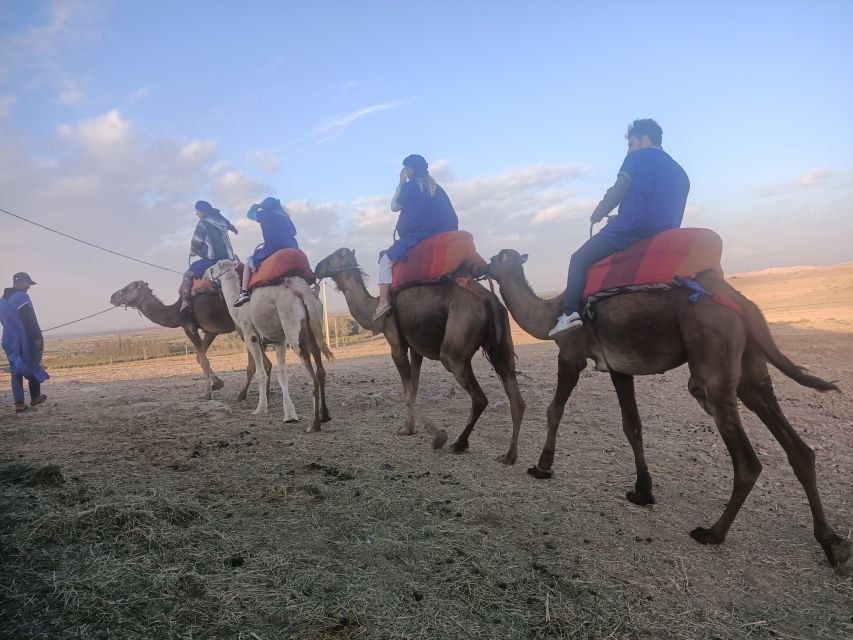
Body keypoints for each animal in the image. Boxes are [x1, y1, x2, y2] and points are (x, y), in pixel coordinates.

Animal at [110, 282, 270, 400]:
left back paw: (248, 394)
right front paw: (217, 383)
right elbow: (200, 357)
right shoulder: (211, 331)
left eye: (125, 289)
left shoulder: (189, 328)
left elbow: (204, 360)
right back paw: (264, 393)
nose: (112, 297)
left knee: (260, 361)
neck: (175, 312)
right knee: (263, 360)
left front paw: (206, 393)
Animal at [206, 258, 332, 430]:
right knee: (320, 370)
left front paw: (260, 408)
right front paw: (290, 415)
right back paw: (325, 416)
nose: (205, 273)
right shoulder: (279, 340)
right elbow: (282, 375)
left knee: (312, 377)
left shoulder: (250, 336)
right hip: (314, 326)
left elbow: (260, 372)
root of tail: (304, 293)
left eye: (213, 268)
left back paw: (314, 425)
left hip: (293, 330)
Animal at [314, 248, 524, 462]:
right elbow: (413, 389)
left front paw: (436, 435)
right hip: (501, 346)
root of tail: (490, 300)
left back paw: (459, 443)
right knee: (515, 395)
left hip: (455, 351)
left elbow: (407, 392)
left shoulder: (396, 344)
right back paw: (509, 456)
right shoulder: (416, 349)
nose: (317, 267)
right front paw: (409, 428)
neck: (374, 312)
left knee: (479, 397)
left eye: (337, 255)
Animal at [486, 250, 852, 576]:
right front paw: (642, 491)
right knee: (798, 448)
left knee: (747, 460)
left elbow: (555, 410)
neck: (548, 313)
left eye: (495, 258)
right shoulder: (618, 367)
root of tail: (743, 303)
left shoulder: (571, 355)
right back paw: (833, 545)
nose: (479, 267)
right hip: (751, 369)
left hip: (713, 362)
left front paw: (542, 466)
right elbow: (632, 425)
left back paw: (712, 533)